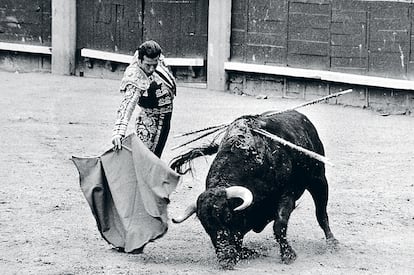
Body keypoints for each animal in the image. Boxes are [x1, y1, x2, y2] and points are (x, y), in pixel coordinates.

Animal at [170, 110, 338, 270]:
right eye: (204, 224)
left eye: (228, 216)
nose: (225, 260)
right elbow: (239, 240)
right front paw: (248, 252)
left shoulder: (287, 194)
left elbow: (279, 225)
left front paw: (288, 255)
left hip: (319, 180)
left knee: (321, 213)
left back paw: (332, 242)